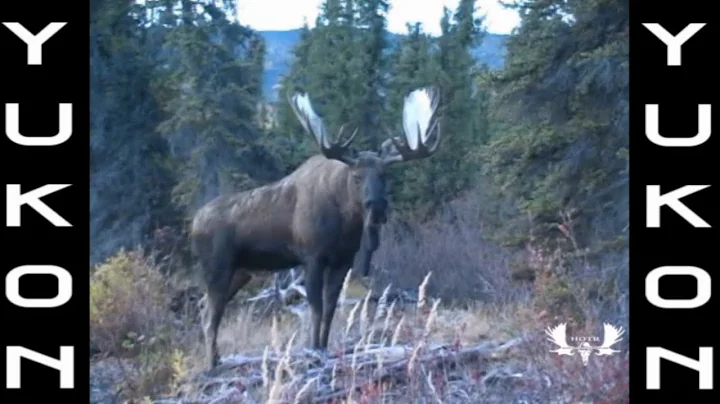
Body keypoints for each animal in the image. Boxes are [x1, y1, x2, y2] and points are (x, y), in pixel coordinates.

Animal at [190, 87, 441, 370]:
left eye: (384, 175)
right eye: (356, 176)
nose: (376, 206)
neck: (345, 223)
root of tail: (193, 223)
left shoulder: (342, 261)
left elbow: (331, 307)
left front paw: (322, 347)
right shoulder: (312, 257)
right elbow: (316, 307)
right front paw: (312, 350)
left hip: (241, 271)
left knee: (206, 306)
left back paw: (218, 358)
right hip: (217, 266)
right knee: (211, 311)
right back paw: (211, 364)